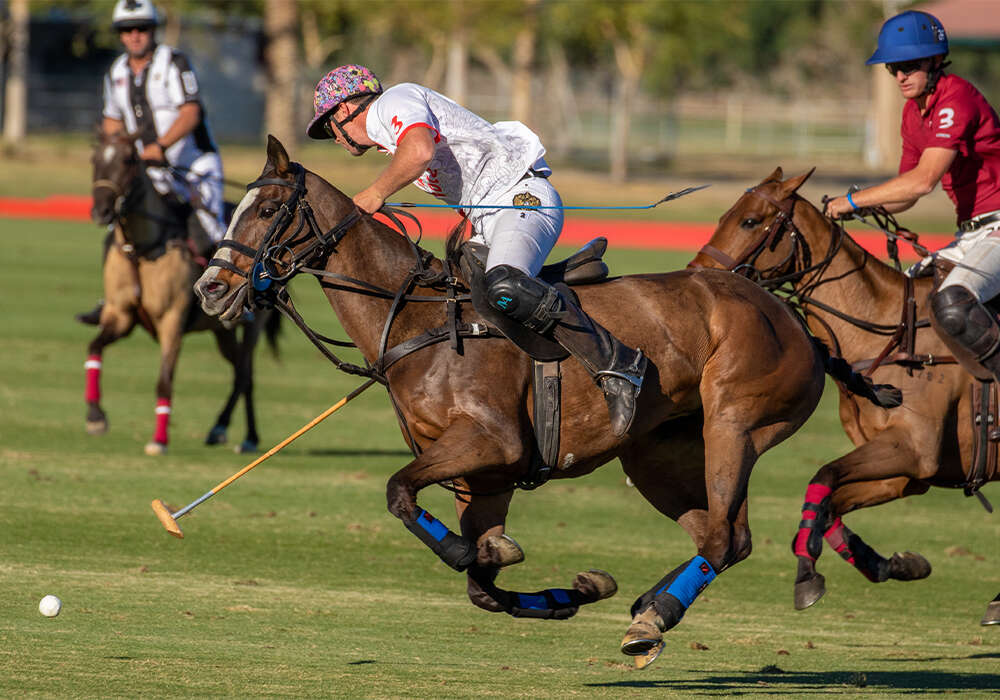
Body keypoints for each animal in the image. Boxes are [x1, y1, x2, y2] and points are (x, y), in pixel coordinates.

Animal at [86, 131, 280, 456]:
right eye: (95, 158)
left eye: (128, 160)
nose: (101, 212)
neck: (143, 249)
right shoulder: (120, 316)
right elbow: (94, 348)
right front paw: (96, 417)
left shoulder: (172, 321)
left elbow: (164, 380)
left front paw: (159, 440)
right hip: (222, 331)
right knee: (243, 372)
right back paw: (234, 432)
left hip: (253, 325)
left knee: (244, 374)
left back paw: (235, 432)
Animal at [191, 137, 896, 668]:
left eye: (267, 210)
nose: (209, 289)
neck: (417, 320)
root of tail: (798, 319)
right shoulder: (485, 475)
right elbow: (481, 586)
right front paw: (573, 589)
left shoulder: (490, 442)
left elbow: (406, 501)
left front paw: (490, 554)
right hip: (657, 455)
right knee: (725, 536)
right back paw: (645, 609)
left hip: (735, 423)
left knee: (724, 535)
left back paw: (651, 619)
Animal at [688, 167, 1000, 628]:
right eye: (725, 215)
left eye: (750, 220)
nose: (699, 275)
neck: (888, 333)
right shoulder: (906, 475)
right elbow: (830, 505)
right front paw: (895, 564)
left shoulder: (913, 449)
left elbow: (822, 479)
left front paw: (806, 574)